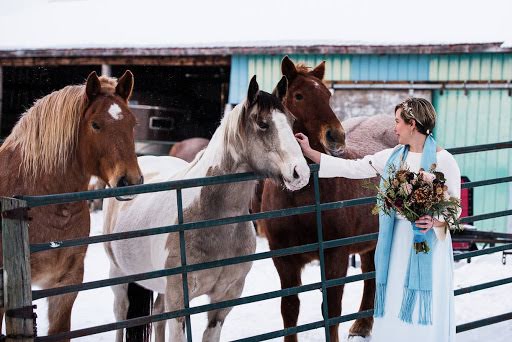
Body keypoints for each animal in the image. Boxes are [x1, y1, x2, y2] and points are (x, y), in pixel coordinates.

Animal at [102, 75, 310, 342]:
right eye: (263, 124)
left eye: (292, 121)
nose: (300, 173)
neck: (212, 219)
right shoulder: (179, 302)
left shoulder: (223, 301)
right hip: (119, 275)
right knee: (121, 315)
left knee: (157, 314)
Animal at [260, 56, 396, 342]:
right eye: (298, 95)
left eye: (328, 95)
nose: (336, 136)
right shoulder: (283, 259)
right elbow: (290, 310)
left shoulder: (335, 255)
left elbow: (332, 309)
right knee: (370, 274)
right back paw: (362, 325)